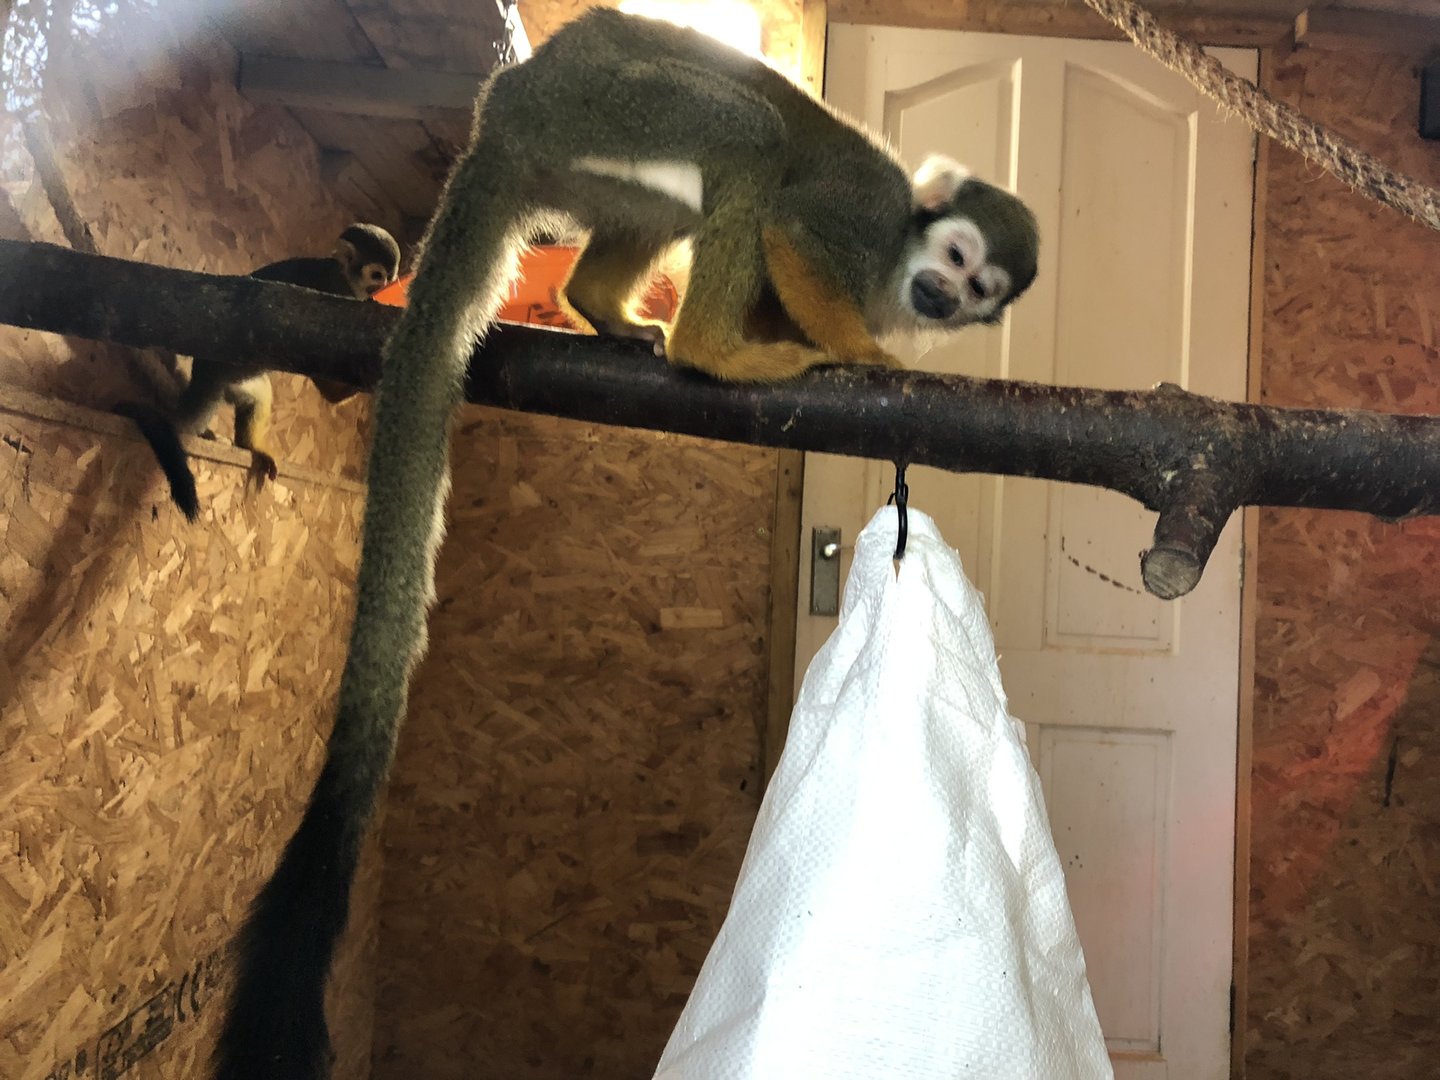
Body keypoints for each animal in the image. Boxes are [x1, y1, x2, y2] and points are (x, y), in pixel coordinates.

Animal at [119, 223, 401, 521]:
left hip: (235, 379)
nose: (383, 287)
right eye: (377, 275)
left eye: (389, 277)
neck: (346, 277)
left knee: (260, 393)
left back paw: (250, 445)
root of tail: (205, 371)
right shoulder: (338, 290)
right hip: (231, 367)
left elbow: (328, 387)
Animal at [212, 11, 1038, 1080]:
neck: (896, 260)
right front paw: (861, 352)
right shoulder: (857, 219)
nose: (944, 292)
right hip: (605, 104)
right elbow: (792, 222)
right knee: (751, 145)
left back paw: (606, 309)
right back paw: (709, 349)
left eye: (982, 282)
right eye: (956, 252)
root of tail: (504, 115)